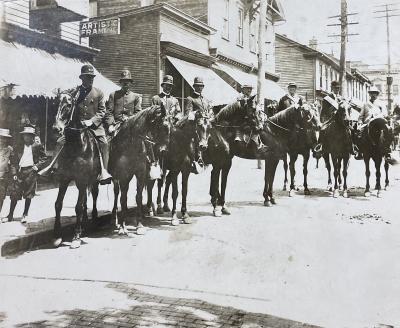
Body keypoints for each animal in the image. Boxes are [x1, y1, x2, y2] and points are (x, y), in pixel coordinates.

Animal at [52, 91, 103, 249]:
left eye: (69, 105)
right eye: (55, 103)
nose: (56, 128)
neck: (77, 145)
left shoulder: (82, 179)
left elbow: (78, 207)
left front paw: (76, 237)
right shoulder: (64, 179)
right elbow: (58, 204)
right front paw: (57, 235)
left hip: (94, 180)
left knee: (94, 195)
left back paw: (93, 218)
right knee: (86, 198)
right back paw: (85, 222)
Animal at [109, 104, 172, 234]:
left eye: (170, 127)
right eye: (162, 126)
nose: (164, 151)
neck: (130, 144)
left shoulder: (140, 173)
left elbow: (138, 197)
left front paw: (139, 225)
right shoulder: (123, 176)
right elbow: (123, 198)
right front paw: (122, 226)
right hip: (116, 177)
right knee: (116, 193)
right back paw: (115, 218)